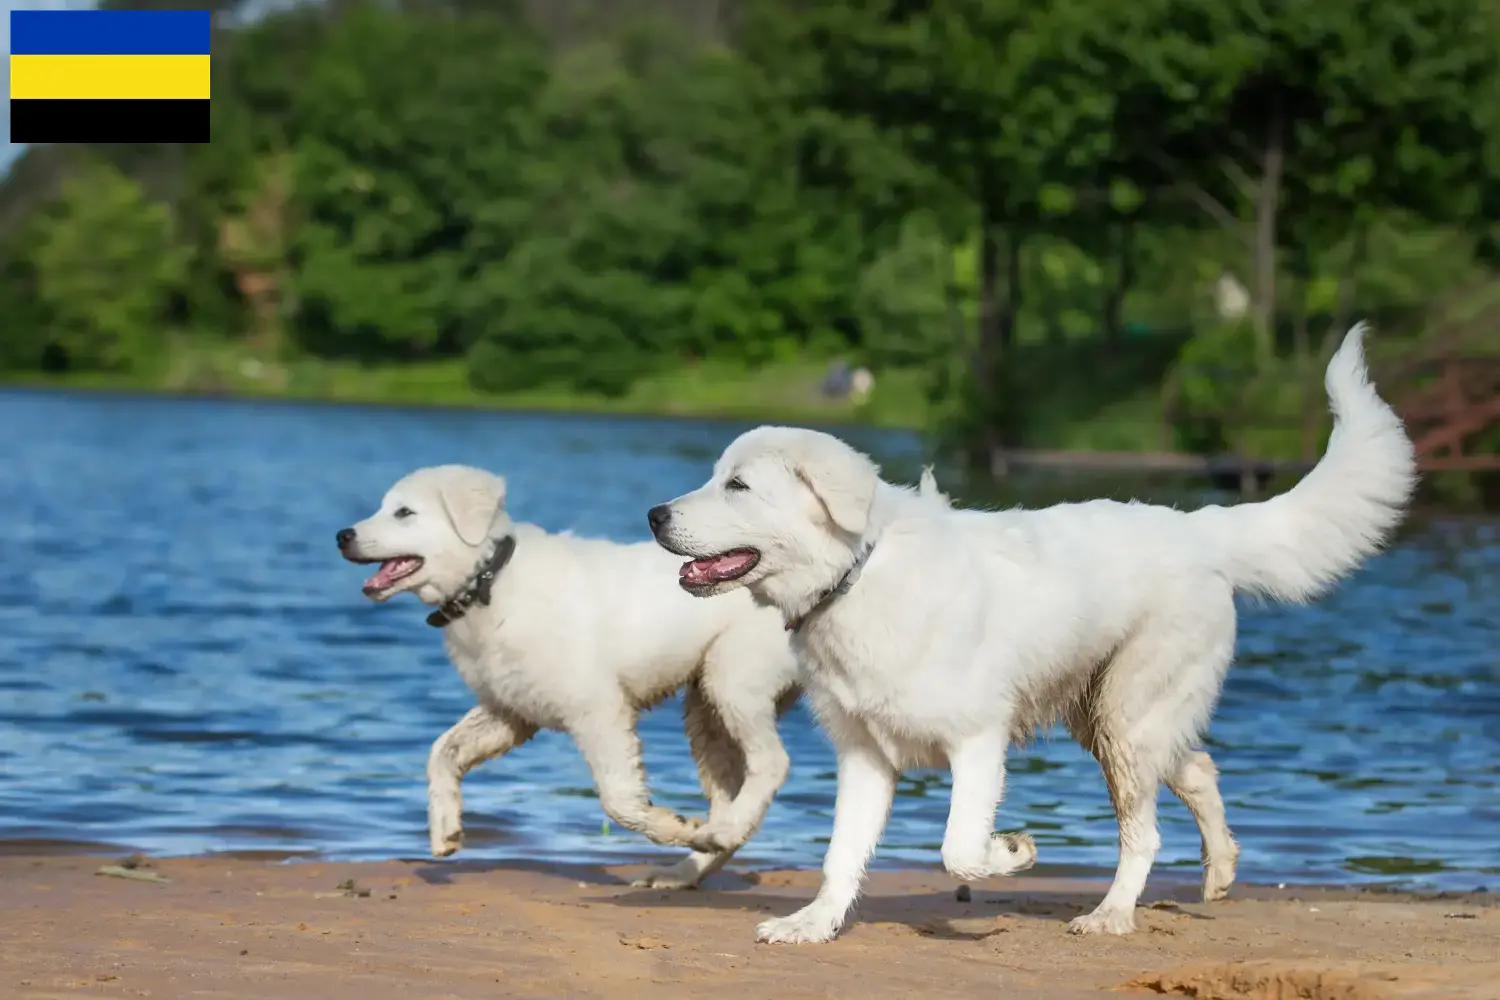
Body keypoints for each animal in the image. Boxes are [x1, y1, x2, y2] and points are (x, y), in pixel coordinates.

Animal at [342, 464, 810, 887]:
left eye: (404, 512)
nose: (341, 536)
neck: (491, 582)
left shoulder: (599, 709)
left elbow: (618, 800)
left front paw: (675, 826)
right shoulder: (510, 710)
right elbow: (441, 751)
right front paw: (445, 829)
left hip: (732, 679)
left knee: (773, 763)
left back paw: (709, 838)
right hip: (705, 710)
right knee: (732, 795)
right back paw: (691, 863)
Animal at [648, 325, 1416, 941]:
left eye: (738, 486)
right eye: (717, 478)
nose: (655, 514)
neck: (857, 577)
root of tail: (1197, 528)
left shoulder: (977, 743)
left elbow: (958, 848)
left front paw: (1013, 853)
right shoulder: (863, 757)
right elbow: (841, 854)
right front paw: (813, 926)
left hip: (1126, 721)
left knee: (1145, 832)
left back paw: (1111, 915)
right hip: (1109, 717)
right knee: (1198, 768)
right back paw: (1220, 871)